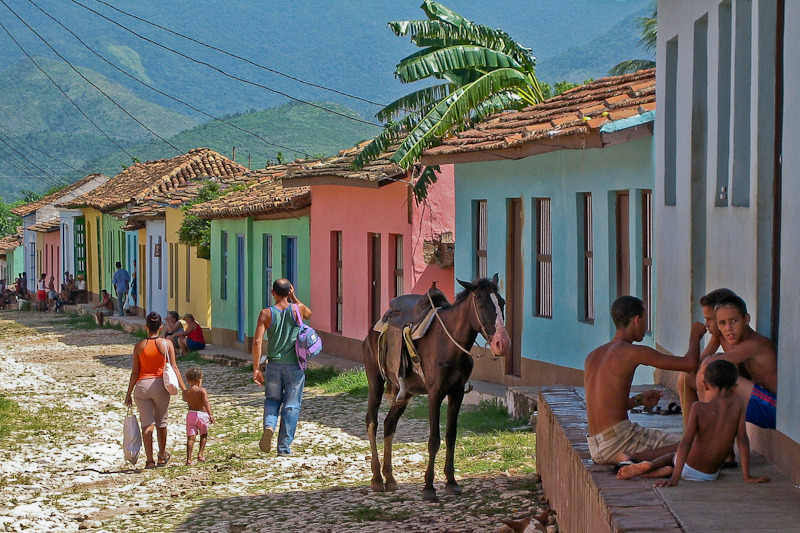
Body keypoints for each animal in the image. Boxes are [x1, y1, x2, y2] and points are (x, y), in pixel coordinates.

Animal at [364, 274, 510, 498]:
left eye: (501, 303)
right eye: (482, 304)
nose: (502, 344)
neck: (449, 344)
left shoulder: (456, 393)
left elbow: (451, 435)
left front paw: (451, 482)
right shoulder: (435, 394)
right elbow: (434, 439)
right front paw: (429, 487)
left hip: (405, 393)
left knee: (389, 424)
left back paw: (390, 478)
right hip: (375, 383)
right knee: (372, 423)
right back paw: (377, 479)